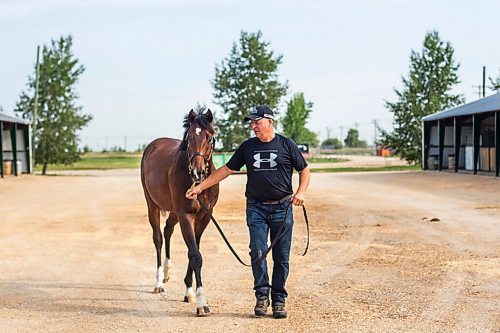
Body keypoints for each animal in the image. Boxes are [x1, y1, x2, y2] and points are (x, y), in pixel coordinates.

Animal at [141, 107, 219, 316]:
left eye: (210, 137)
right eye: (189, 137)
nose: (198, 173)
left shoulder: (203, 217)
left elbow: (194, 251)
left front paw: (189, 292)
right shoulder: (185, 215)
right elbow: (195, 256)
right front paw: (201, 304)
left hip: (174, 212)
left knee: (168, 230)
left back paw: (167, 273)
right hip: (152, 205)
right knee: (158, 238)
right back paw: (159, 282)